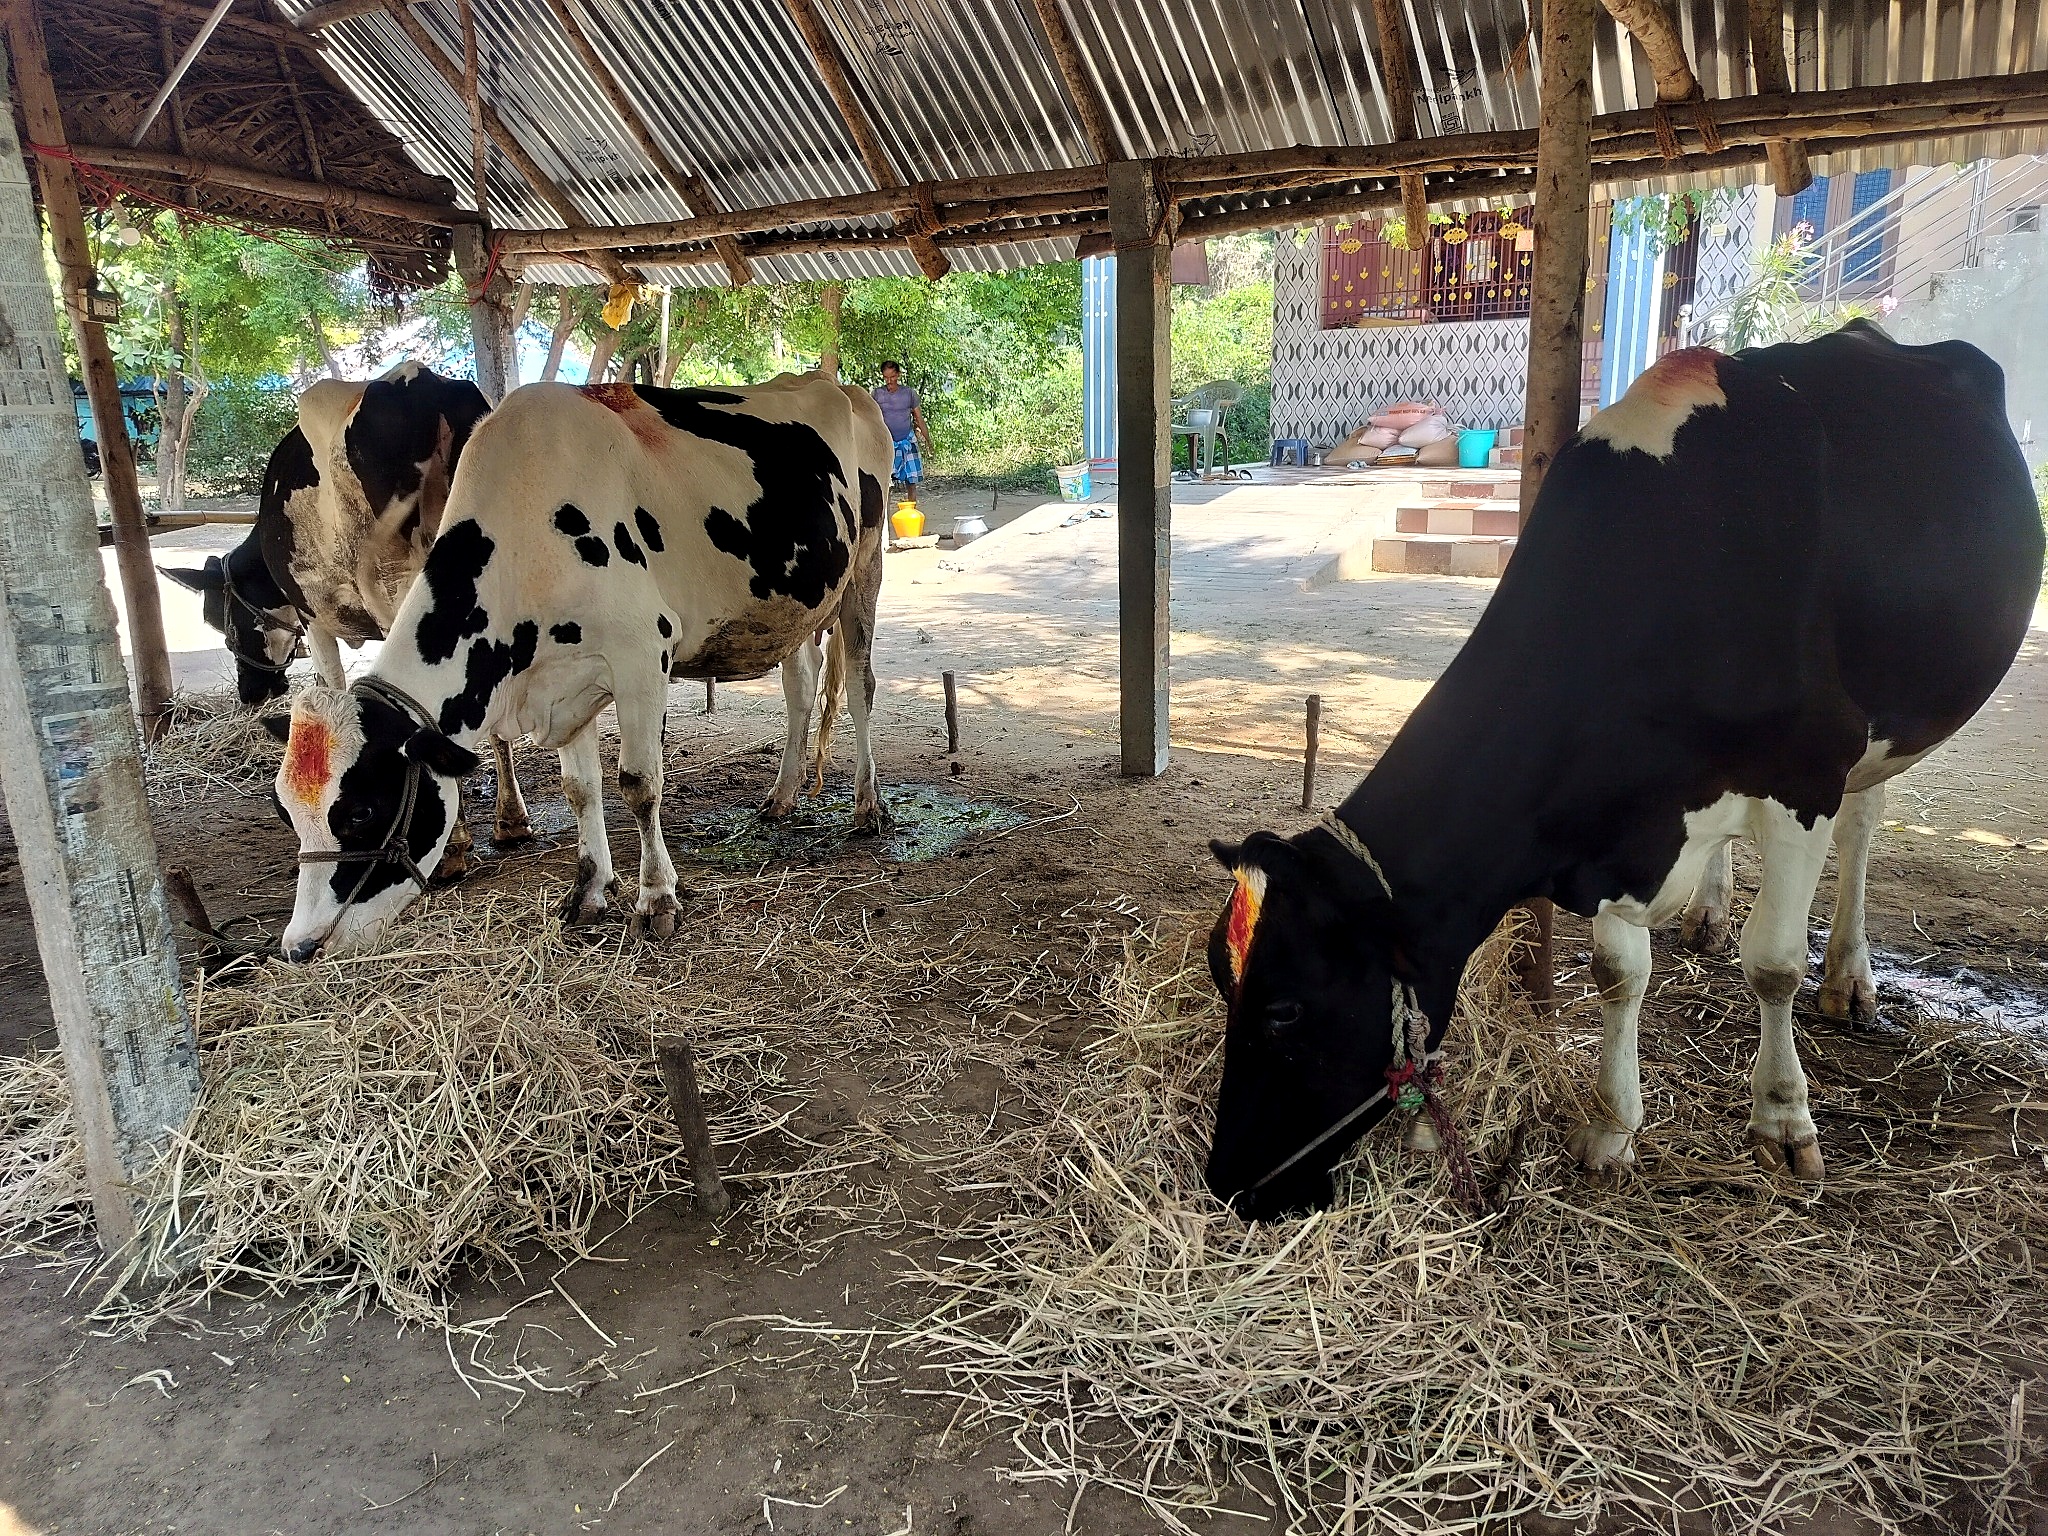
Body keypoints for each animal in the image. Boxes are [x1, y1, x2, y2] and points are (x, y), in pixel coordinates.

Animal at [162, 363, 530, 867]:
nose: (252, 692)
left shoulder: (313, 617)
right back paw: (509, 821)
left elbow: (337, 687)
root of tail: (421, 385)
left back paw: (452, 848)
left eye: (220, 622)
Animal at [268, 372, 892, 962]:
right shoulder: (564, 680)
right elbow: (580, 789)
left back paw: (868, 806)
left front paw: (656, 901)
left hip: (864, 564)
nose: (300, 947)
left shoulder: (642, 655)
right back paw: (782, 796)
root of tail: (834, 383)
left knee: (860, 686)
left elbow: (638, 784)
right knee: (801, 688)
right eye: (286, 811)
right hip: (792, 610)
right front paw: (590, 892)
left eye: (361, 811)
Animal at [1204, 322, 2043, 1221]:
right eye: (1221, 975)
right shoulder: (1606, 828)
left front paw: (1782, 1118)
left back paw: (1850, 977)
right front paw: (1612, 1129)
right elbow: (1617, 974)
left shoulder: (1806, 773)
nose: (1227, 1182)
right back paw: (1708, 912)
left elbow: (1775, 962)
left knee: (1862, 827)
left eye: (1284, 1011)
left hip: (1889, 723)